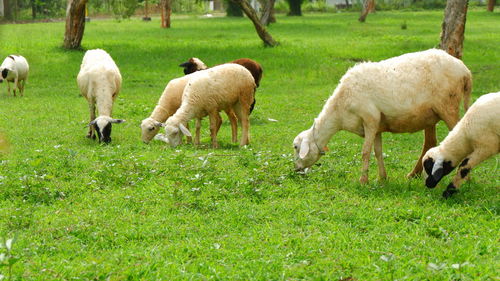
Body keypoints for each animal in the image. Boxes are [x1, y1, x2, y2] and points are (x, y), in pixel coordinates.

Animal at [292, 48, 470, 184]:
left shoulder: (370, 119)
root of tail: (465, 70)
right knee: (430, 142)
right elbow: (378, 151)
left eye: (295, 147)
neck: (339, 112)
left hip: (448, 106)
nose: (296, 170)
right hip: (430, 115)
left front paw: (363, 181)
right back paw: (414, 174)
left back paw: (465, 179)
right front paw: (382, 178)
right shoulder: (377, 126)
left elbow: (365, 152)